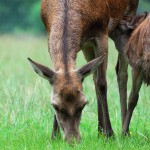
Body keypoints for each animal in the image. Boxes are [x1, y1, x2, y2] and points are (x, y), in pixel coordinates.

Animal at [27, 0, 138, 142]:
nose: (73, 140)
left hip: (128, 18)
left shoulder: (102, 32)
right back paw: (100, 131)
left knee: (121, 73)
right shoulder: (50, 37)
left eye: (84, 104)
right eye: (55, 105)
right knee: (95, 76)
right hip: (88, 46)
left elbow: (102, 84)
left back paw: (124, 132)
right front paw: (54, 136)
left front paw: (110, 134)